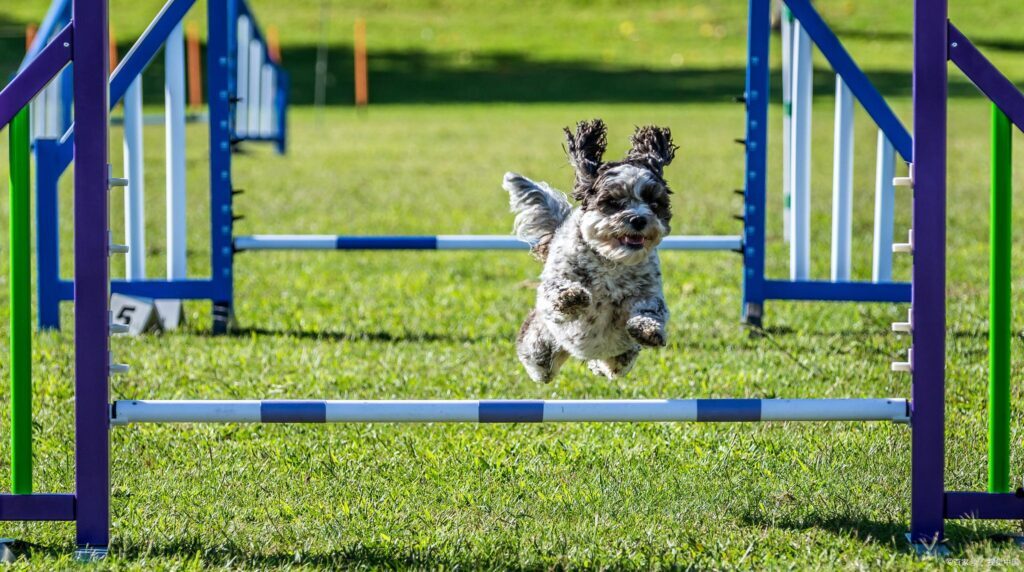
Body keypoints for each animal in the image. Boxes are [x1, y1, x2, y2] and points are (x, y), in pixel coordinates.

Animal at [505, 118, 679, 382]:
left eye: (654, 202)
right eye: (613, 202)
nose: (638, 219)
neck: (610, 262)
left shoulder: (648, 294)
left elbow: (650, 309)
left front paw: (647, 330)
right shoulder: (553, 286)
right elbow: (557, 292)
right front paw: (572, 296)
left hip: (617, 361)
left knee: (612, 363)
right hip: (540, 350)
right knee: (538, 360)